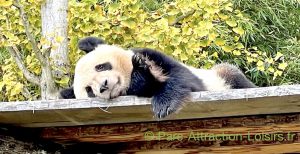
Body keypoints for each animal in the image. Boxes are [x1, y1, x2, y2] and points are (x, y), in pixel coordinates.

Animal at [60, 36, 255, 118]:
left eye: (101, 66)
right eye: (89, 91)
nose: (104, 86)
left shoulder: (153, 56)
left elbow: (183, 78)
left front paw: (164, 104)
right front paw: (141, 79)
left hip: (219, 76)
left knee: (233, 75)